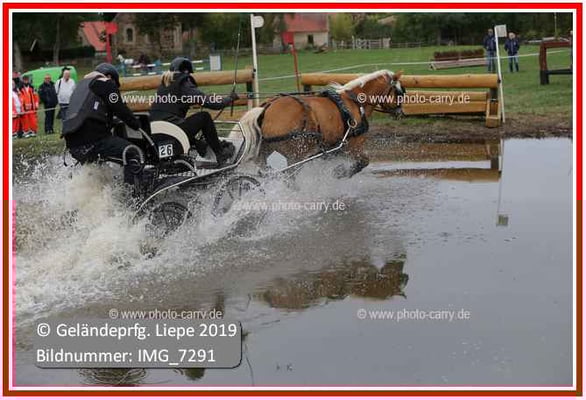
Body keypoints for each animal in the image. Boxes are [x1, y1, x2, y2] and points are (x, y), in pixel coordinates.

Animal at [232, 69, 405, 177]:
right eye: (400, 93)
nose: (401, 113)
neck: (354, 102)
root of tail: (267, 106)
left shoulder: (334, 149)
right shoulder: (353, 145)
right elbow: (363, 162)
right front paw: (339, 173)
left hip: (266, 148)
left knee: (265, 167)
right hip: (296, 154)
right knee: (289, 176)